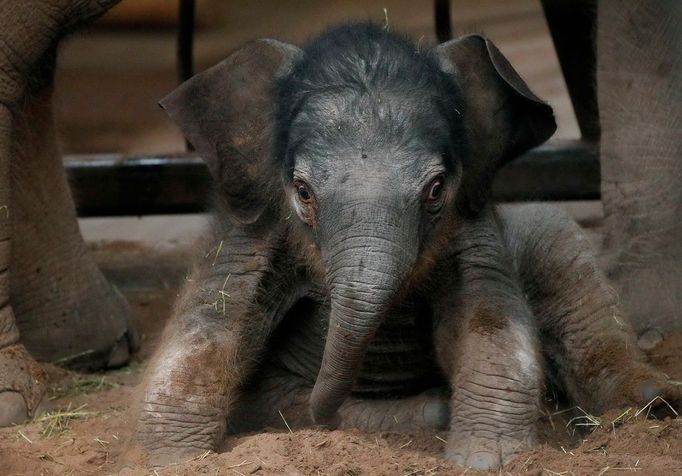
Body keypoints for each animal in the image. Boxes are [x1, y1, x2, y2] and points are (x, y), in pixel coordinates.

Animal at [130, 24, 676, 470]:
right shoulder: (252, 229)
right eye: (302, 192)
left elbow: (490, 323)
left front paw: (483, 461)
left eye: (435, 190)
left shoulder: (472, 223)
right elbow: (208, 327)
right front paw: (167, 461)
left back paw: (654, 400)